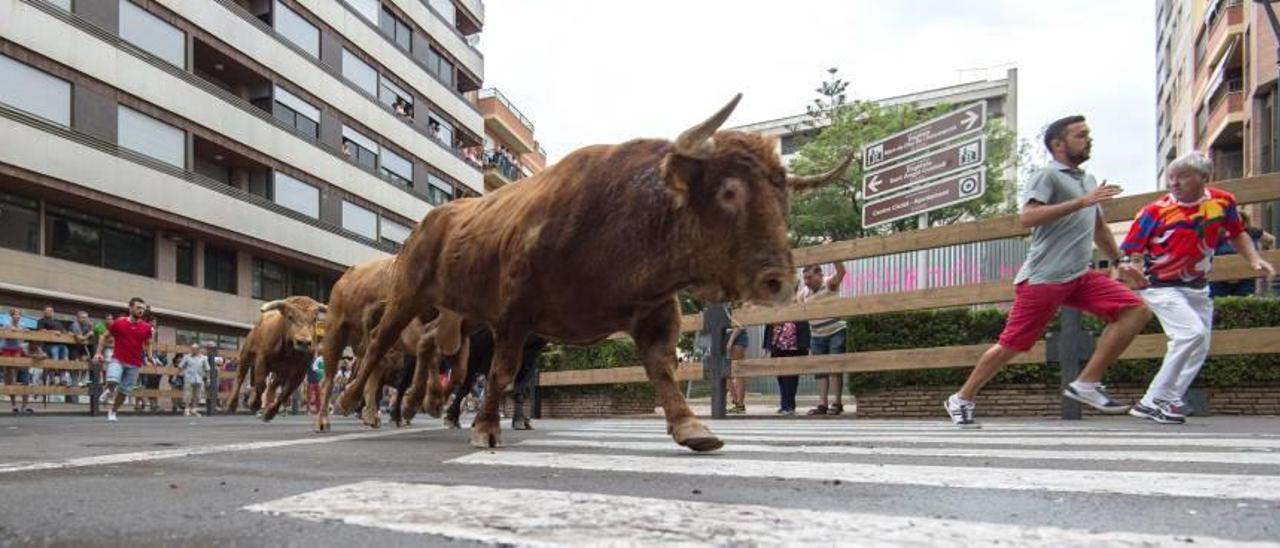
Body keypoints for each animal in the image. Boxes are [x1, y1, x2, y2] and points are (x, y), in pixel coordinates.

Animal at [355, 95, 849, 453]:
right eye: (730, 192)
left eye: (785, 201)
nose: (779, 280)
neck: (624, 219)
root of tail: (434, 218)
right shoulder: (514, 315)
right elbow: (502, 372)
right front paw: (487, 428)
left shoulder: (654, 311)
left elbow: (662, 369)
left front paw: (691, 427)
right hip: (409, 294)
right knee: (379, 343)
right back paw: (355, 402)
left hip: (456, 311)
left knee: (429, 348)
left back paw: (413, 404)